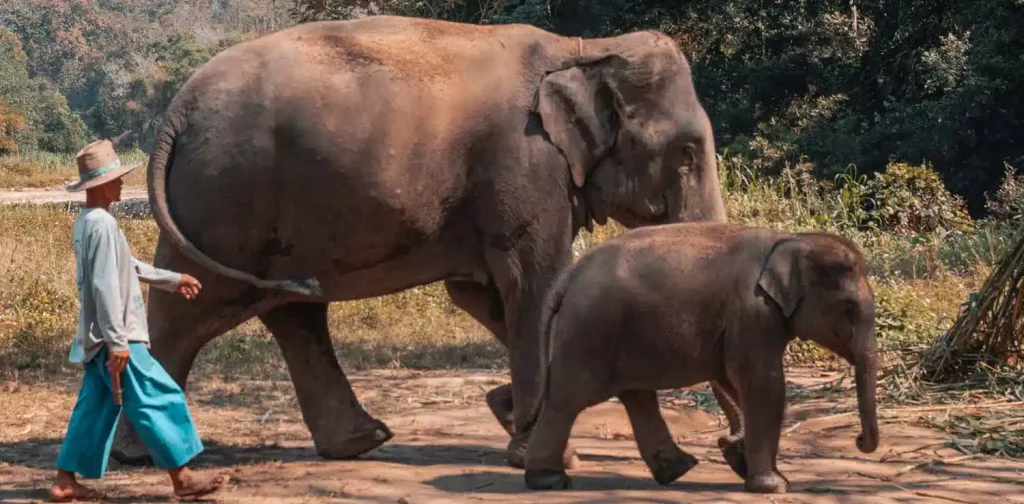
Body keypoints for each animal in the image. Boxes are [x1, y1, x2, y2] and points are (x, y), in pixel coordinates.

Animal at [112, 13, 729, 467]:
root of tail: (175, 113)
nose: (729, 450)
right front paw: (541, 449)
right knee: (190, 310)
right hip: (226, 197)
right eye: (687, 153)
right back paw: (143, 456)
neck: (584, 50)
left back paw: (360, 442)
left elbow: (484, 295)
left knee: (291, 310)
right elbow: (534, 285)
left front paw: (511, 415)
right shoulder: (525, 166)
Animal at [524, 222, 876, 493]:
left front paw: (741, 460)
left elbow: (736, 382)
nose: (859, 439)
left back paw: (677, 470)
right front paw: (774, 486)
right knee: (568, 399)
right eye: (849, 310)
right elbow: (764, 384)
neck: (789, 239)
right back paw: (549, 480)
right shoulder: (752, 313)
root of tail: (570, 274)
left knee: (636, 396)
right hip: (590, 330)